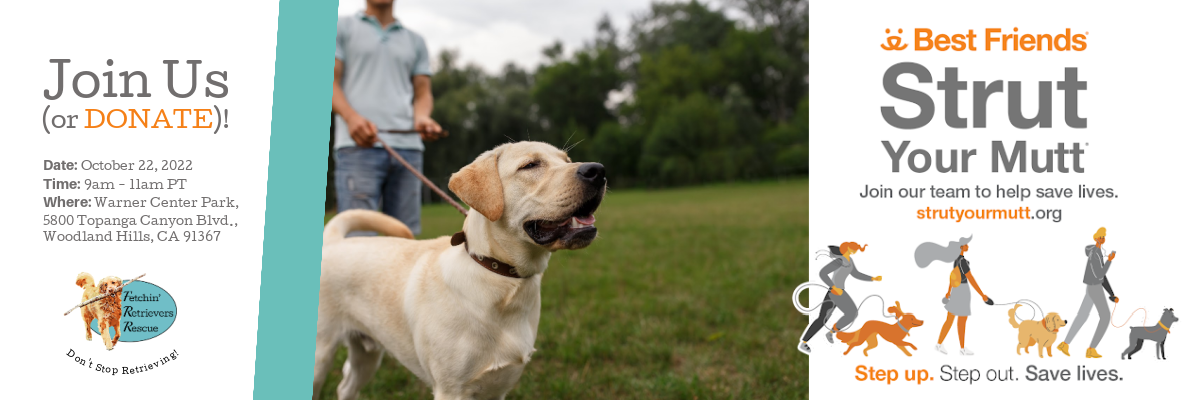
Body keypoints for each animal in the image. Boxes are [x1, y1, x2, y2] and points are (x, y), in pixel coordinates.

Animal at [314, 141, 604, 398]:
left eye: (566, 160)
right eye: (530, 165)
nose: (597, 170)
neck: (501, 277)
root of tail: (333, 241)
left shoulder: (497, 388)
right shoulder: (451, 390)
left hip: (368, 354)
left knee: (345, 388)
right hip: (321, 355)